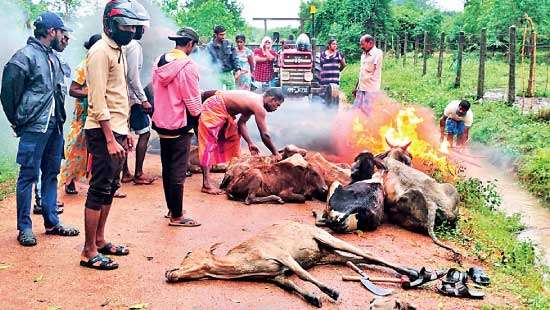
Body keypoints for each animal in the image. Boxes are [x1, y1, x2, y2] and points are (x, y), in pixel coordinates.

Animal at [166, 220, 420, 308]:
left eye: (188, 254)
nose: (170, 272)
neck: (242, 264)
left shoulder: (282, 256)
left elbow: (304, 276)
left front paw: (332, 292)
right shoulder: (276, 275)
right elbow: (291, 285)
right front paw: (313, 298)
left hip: (327, 238)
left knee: (368, 253)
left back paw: (413, 272)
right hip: (327, 253)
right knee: (358, 259)